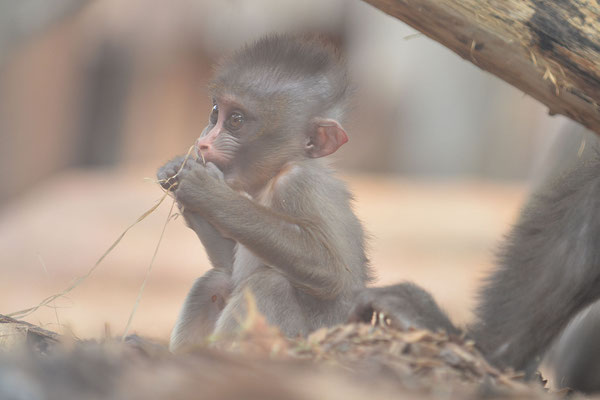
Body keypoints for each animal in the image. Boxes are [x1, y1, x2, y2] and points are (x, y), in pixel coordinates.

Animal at [157, 35, 368, 354]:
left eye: (235, 121)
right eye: (215, 113)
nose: (204, 143)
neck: (270, 179)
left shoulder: (299, 184)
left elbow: (331, 273)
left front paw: (206, 190)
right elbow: (228, 268)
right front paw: (176, 175)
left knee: (270, 283)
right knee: (216, 281)